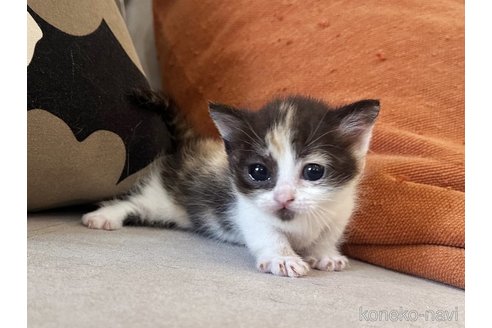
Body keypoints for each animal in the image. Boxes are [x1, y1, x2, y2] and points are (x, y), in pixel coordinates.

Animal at [82, 91, 378, 278]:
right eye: (258, 171)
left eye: (314, 171)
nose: (283, 197)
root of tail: (191, 144)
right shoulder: (246, 210)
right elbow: (269, 233)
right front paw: (283, 257)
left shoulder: (340, 209)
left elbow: (328, 234)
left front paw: (326, 254)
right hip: (162, 199)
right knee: (135, 202)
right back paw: (104, 216)